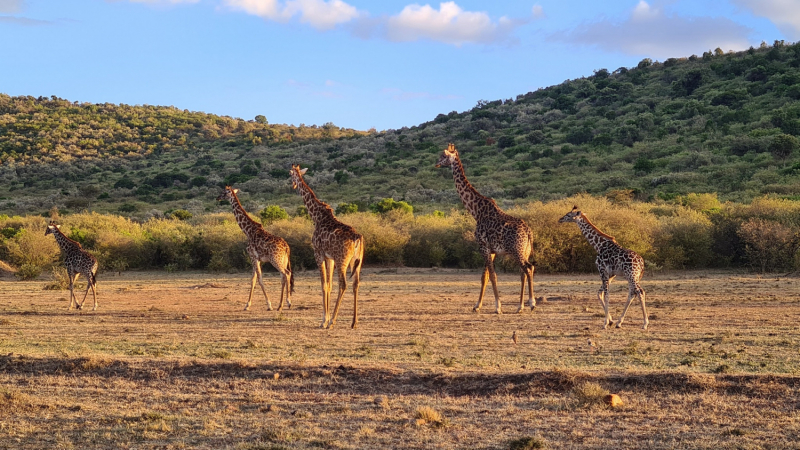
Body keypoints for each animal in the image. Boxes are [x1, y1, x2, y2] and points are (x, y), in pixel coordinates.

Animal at [290, 163, 364, 328]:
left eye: (290, 175)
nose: (292, 185)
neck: (316, 216)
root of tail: (357, 238)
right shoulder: (329, 257)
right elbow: (329, 285)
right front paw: (326, 317)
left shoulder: (318, 254)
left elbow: (324, 284)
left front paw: (324, 321)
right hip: (356, 261)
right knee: (356, 284)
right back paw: (354, 322)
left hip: (342, 260)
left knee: (343, 284)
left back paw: (333, 321)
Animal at [434, 143, 536, 312]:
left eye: (443, 155)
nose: (436, 163)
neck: (476, 211)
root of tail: (528, 232)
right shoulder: (491, 250)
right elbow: (485, 276)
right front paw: (477, 306)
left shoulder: (483, 246)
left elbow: (493, 276)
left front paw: (498, 307)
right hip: (525, 251)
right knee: (524, 271)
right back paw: (520, 306)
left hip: (517, 250)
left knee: (528, 269)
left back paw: (532, 303)